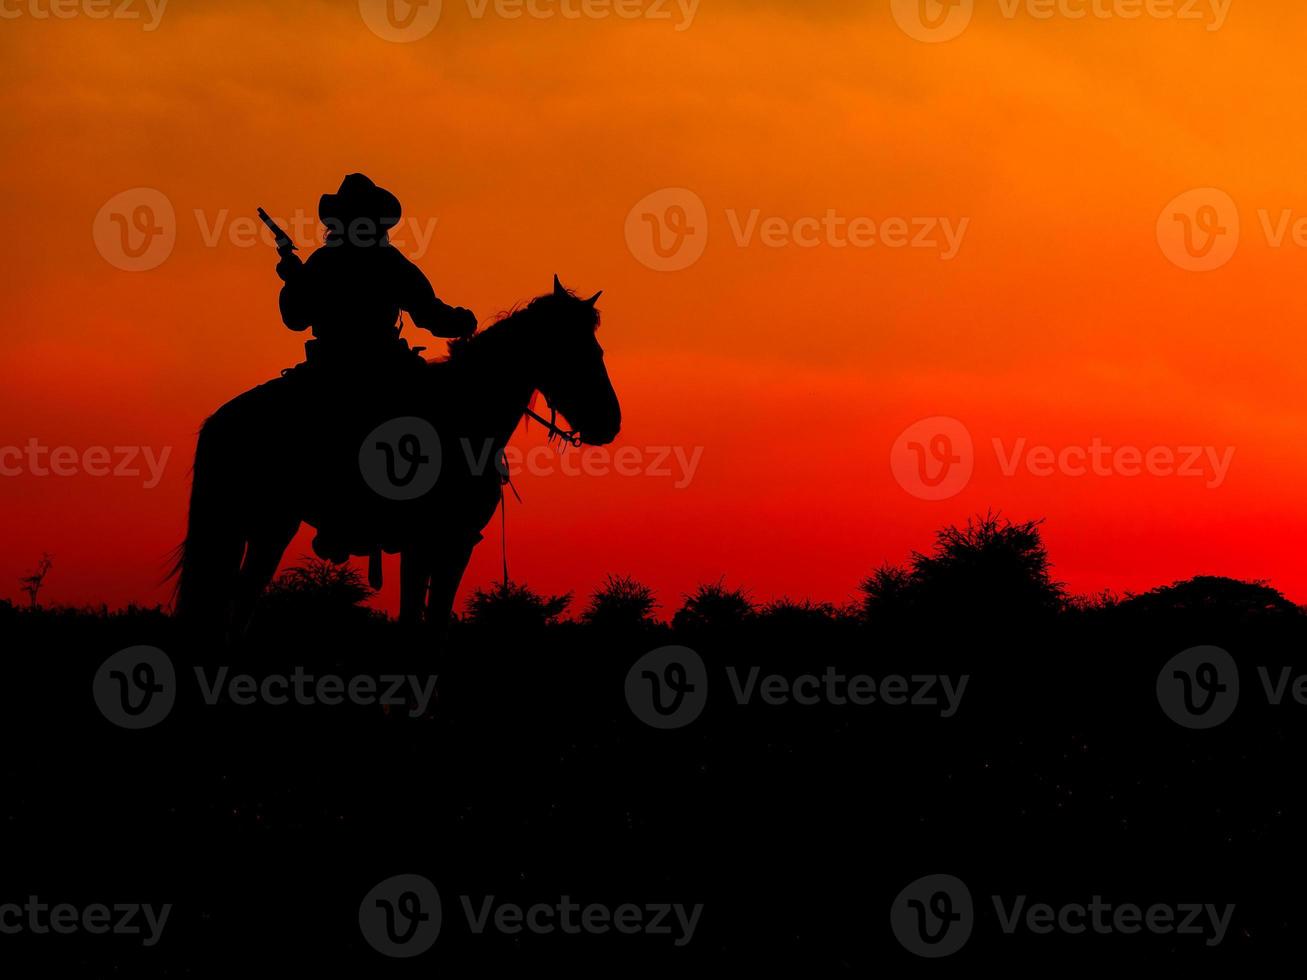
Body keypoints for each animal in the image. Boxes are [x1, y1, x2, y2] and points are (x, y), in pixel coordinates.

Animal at [176, 277, 619, 637]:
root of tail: (220, 420)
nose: (610, 422)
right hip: (265, 524)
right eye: (575, 351)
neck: (464, 415)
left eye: (596, 347)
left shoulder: (450, 543)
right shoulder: (431, 542)